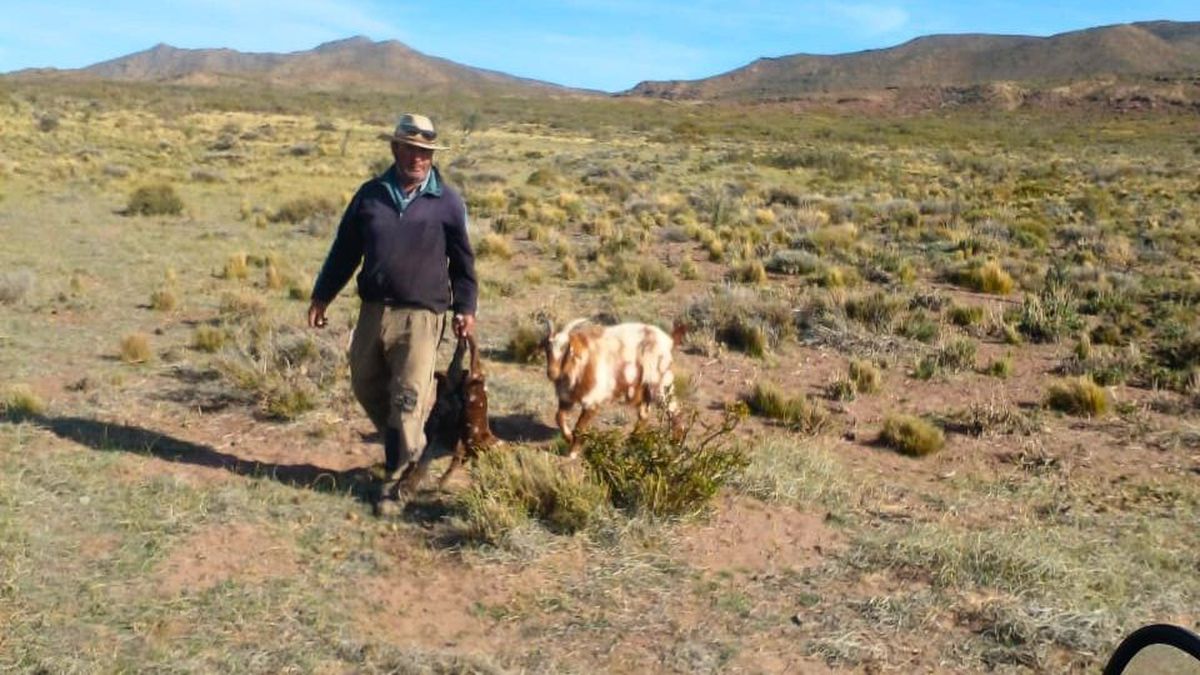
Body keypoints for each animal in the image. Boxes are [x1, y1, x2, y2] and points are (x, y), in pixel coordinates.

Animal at [543, 318, 685, 458]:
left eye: (565, 349)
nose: (552, 373)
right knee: (644, 415)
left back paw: (675, 445)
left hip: (660, 383)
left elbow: (579, 427)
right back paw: (634, 442)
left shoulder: (592, 401)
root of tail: (669, 341)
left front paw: (573, 451)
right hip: (645, 389)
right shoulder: (566, 398)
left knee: (675, 412)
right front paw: (569, 438)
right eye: (547, 349)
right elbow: (559, 417)